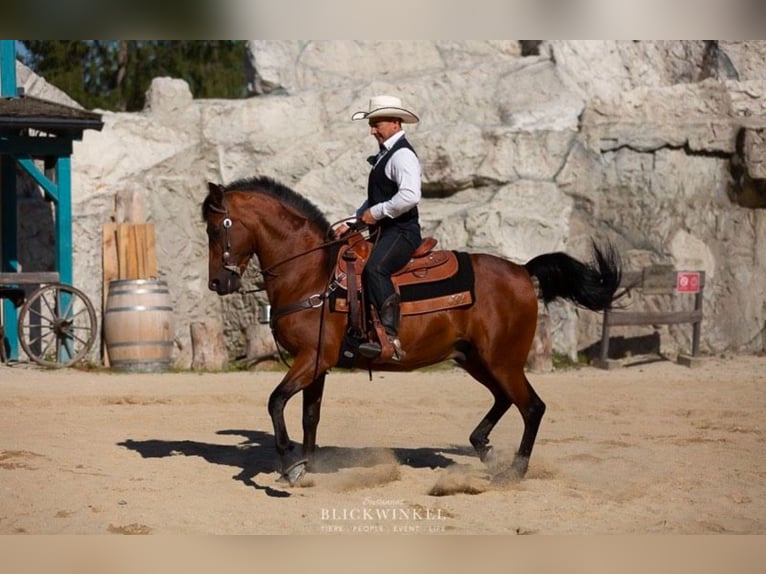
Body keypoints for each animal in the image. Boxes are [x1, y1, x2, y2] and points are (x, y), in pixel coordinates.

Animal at [204, 176, 624, 486]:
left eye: (217, 228)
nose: (218, 283)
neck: (313, 273)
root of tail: (522, 270)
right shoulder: (317, 363)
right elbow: (310, 416)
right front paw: (307, 467)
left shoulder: (311, 359)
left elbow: (275, 401)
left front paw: (290, 466)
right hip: (475, 359)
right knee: (505, 400)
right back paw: (483, 448)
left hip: (503, 360)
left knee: (532, 406)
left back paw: (515, 472)